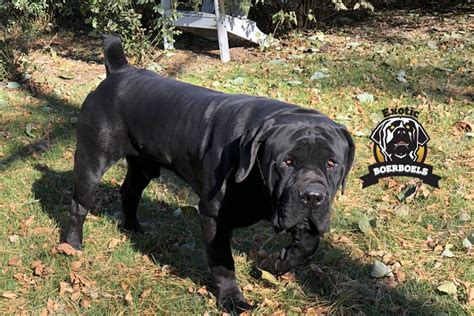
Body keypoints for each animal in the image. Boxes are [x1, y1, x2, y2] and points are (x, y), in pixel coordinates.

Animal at [62, 35, 352, 312]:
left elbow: (309, 244)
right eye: (287, 162)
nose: (312, 196)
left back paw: (133, 227)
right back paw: (72, 245)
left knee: (129, 193)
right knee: (79, 204)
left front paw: (277, 263)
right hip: (91, 161)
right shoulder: (214, 216)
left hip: (143, 166)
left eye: (332, 163)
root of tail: (120, 71)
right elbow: (223, 262)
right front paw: (232, 299)